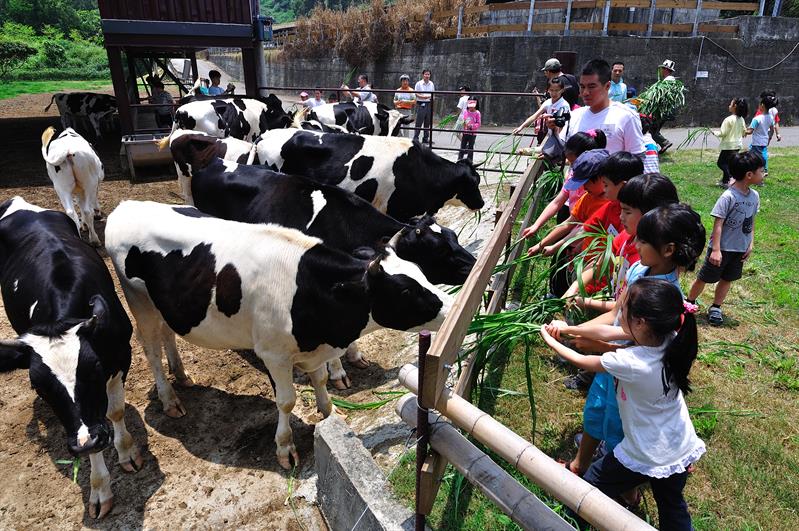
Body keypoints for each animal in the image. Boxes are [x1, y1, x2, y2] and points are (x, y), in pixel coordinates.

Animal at [0, 196, 142, 520]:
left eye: (95, 370)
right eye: (37, 386)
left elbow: (115, 411)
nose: (85, 441)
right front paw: (100, 490)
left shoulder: (121, 357)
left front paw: (127, 451)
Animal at [105, 201, 454, 470]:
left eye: (422, 273)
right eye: (406, 290)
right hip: (139, 302)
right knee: (150, 348)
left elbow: (320, 381)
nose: (452, 309)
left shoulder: (314, 348)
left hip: (166, 305)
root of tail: (127, 205)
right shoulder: (274, 354)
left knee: (168, 334)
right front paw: (285, 449)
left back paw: (181, 374)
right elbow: (287, 402)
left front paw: (331, 414)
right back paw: (169, 398)